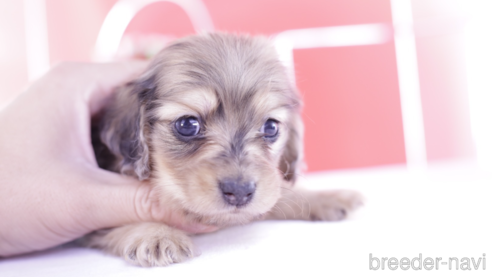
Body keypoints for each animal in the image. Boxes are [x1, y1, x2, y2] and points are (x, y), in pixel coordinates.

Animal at [88, 32, 364, 266]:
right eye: (187, 125)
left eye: (271, 127)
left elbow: (278, 196)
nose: (240, 192)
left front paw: (326, 197)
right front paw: (156, 234)